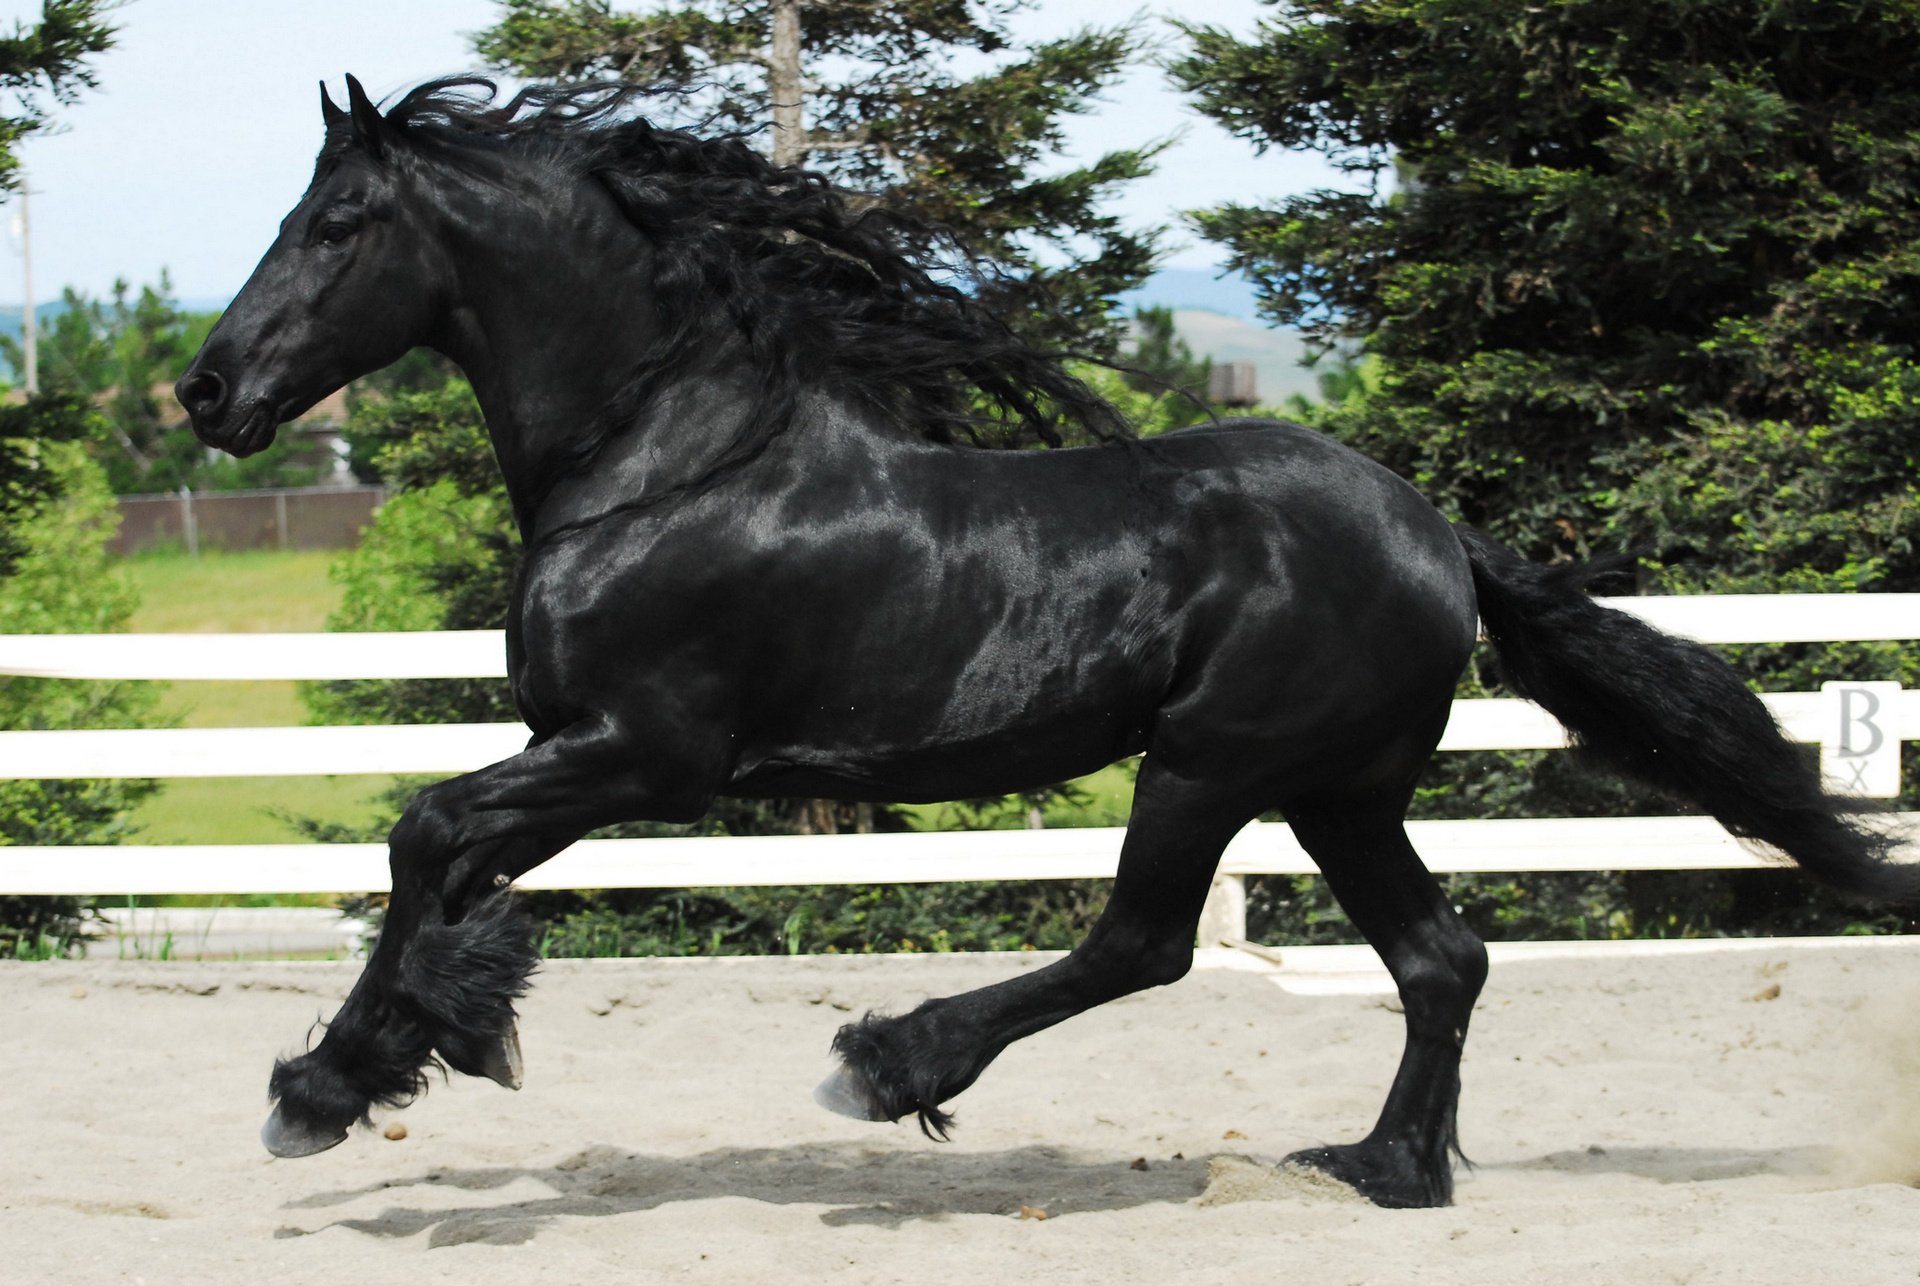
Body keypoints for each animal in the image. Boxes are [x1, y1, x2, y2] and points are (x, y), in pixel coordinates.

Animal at [175, 76, 1914, 1209]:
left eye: (338, 221)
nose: (205, 390)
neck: (665, 461)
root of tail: (1436, 534)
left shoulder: (644, 754)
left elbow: (422, 835)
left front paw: (332, 1086)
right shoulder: (578, 753)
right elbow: (445, 868)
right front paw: (408, 1050)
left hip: (1211, 760)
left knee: (1147, 941)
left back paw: (892, 1062)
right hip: (1338, 788)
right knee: (1440, 956)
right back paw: (1385, 1169)